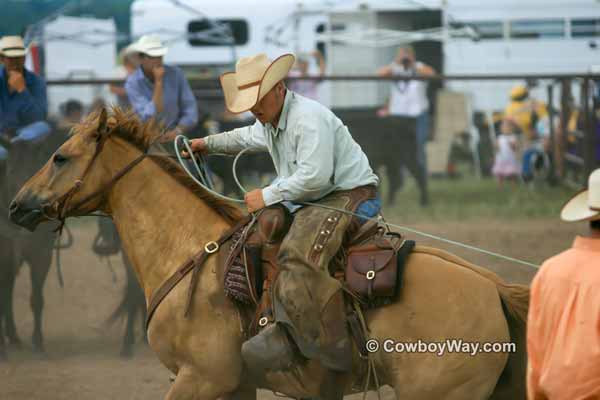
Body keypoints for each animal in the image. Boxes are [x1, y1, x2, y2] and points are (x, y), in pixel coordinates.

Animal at [8, 108, 524, 398]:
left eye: (60, 156)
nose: (15, 205)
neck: (190, 250)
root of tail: (493, 287)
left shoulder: (200, 378)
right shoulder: (235, 385)